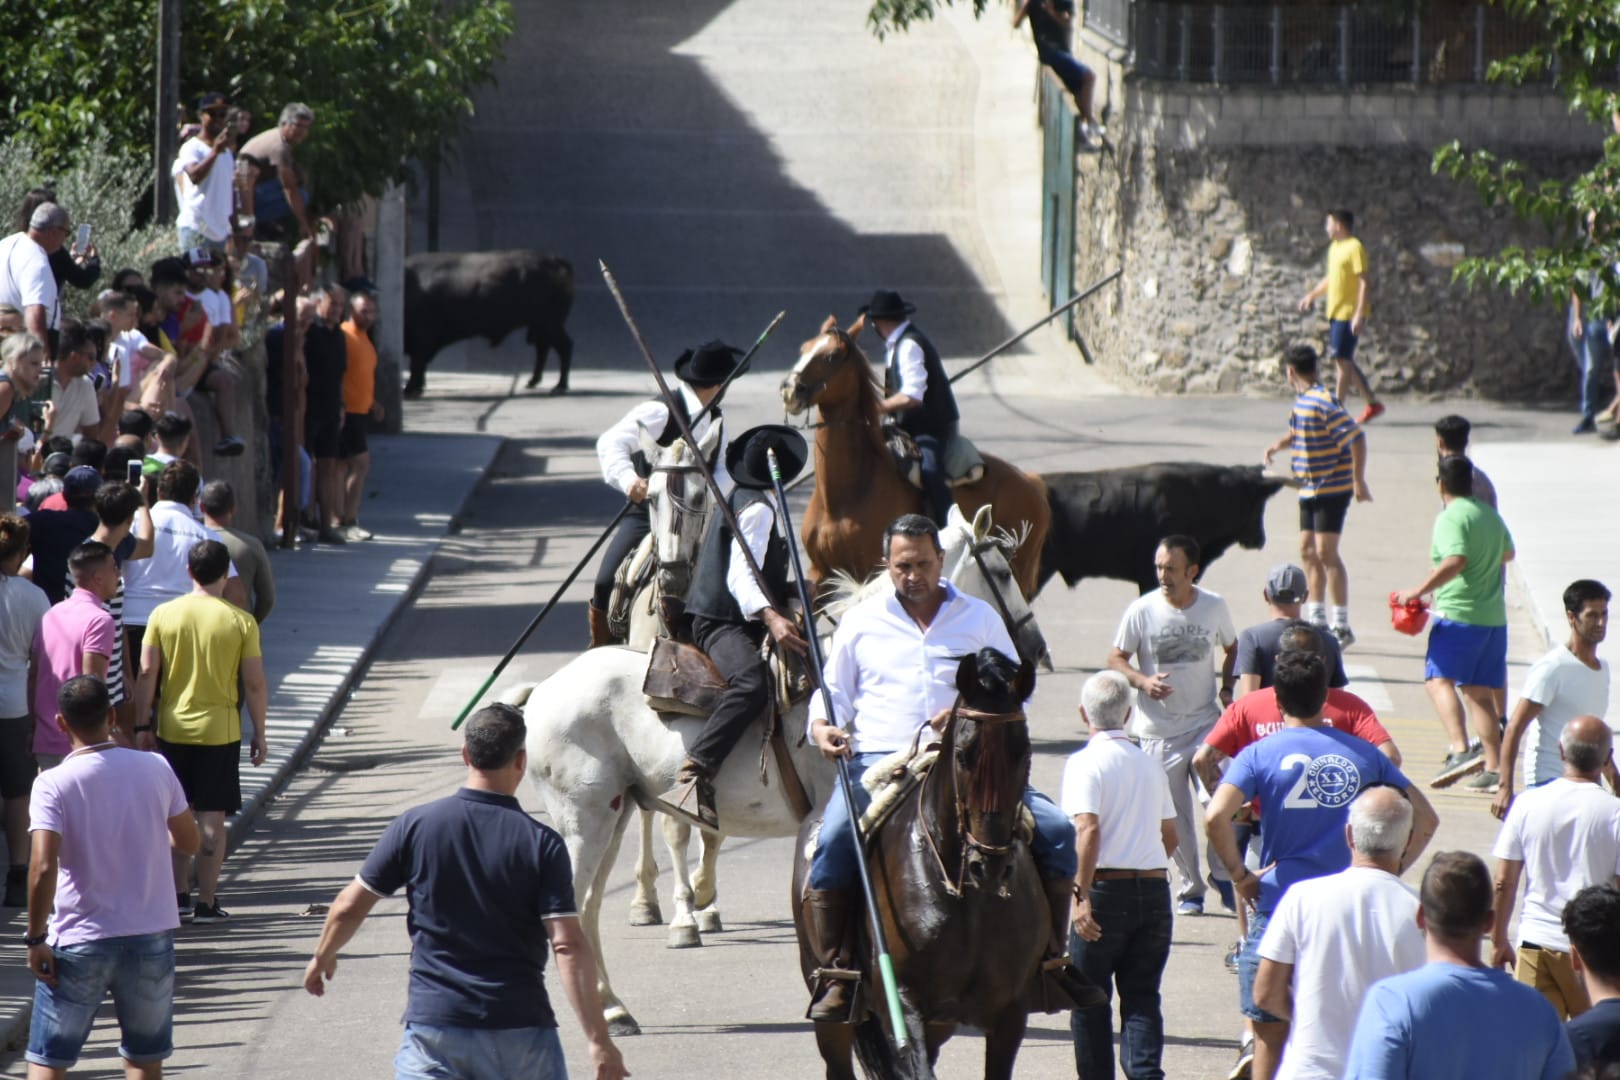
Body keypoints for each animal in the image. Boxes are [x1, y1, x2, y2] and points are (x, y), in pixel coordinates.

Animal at [400, 250, 573, 396]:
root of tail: (555, 261)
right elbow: (419, 365)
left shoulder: (421, 340)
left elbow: (416, 365)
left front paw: (410, 389)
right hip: (542, 327)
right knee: (543, 349)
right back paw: (533, 381)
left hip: (550, 325)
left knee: (564, 347)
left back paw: (559, 386)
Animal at [505, 508, 1049, 1036]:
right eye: (1002, 571)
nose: (1035, 651)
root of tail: (543, 691)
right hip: (585, 822)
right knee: (577, 907)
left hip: (612, 818)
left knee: (590, 907)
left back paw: (614, 1009)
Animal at [780, 312, 1056, 599]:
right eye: (804, 348)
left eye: (832, 355)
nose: (789, 390)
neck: (846, 493)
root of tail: (1032, 483)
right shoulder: (819, 575)